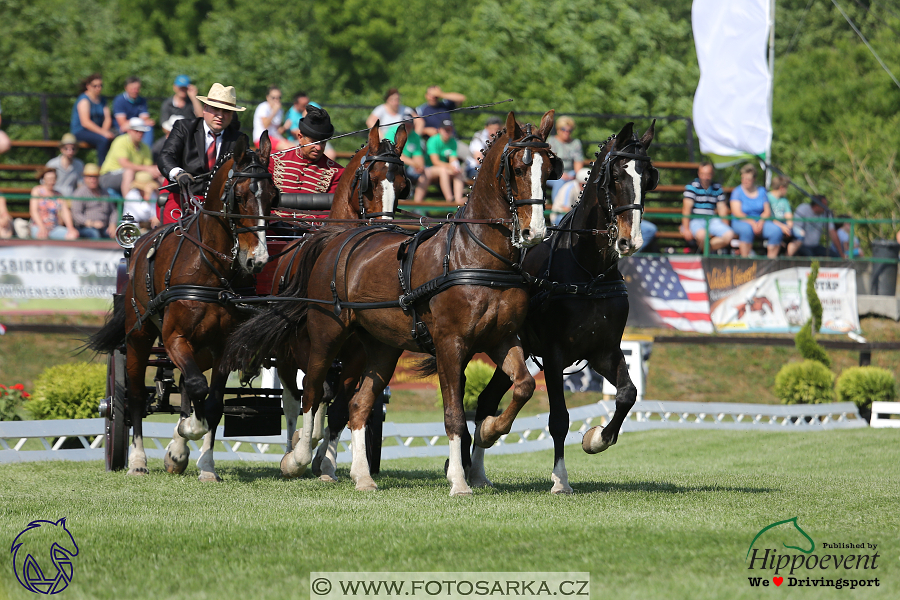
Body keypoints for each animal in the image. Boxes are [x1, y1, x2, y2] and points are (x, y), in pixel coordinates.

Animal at [89, 131, 278, 478]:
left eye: (274, 197)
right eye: (239, 196)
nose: (257, 260)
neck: (210, 267)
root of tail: (135, 246)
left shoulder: (223, 346)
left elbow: (212, 401)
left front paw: (204, 464)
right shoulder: (174, 336)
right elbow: (196, 387)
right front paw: (186, 433)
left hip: (198, 347)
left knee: (185, 384)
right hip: (138, 337)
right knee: (137, 396)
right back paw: (138, 461)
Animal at [239, 110, 560, 494]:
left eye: (550, 168)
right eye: (518, 167)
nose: (535, 231)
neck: (476, 256)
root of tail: (338, 237)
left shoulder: (502, 339)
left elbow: (524, 386)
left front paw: (488, 431)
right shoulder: (450, 345)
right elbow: (453, 413)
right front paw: (458, 480)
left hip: (380, 347)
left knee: (357, 404)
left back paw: (361, 475)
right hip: (324, 335)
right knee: (311, 392)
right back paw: (297, 457)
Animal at [468, 120, 656, 492]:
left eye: (648, 177)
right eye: (616, 176)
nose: (630, 240)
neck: (589, 272)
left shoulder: (604, 351)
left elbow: (627, 394)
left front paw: (596, 438)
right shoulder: (555, 355)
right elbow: (559, 419)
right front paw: (560, 479)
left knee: (487, 400)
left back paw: (477, 469)